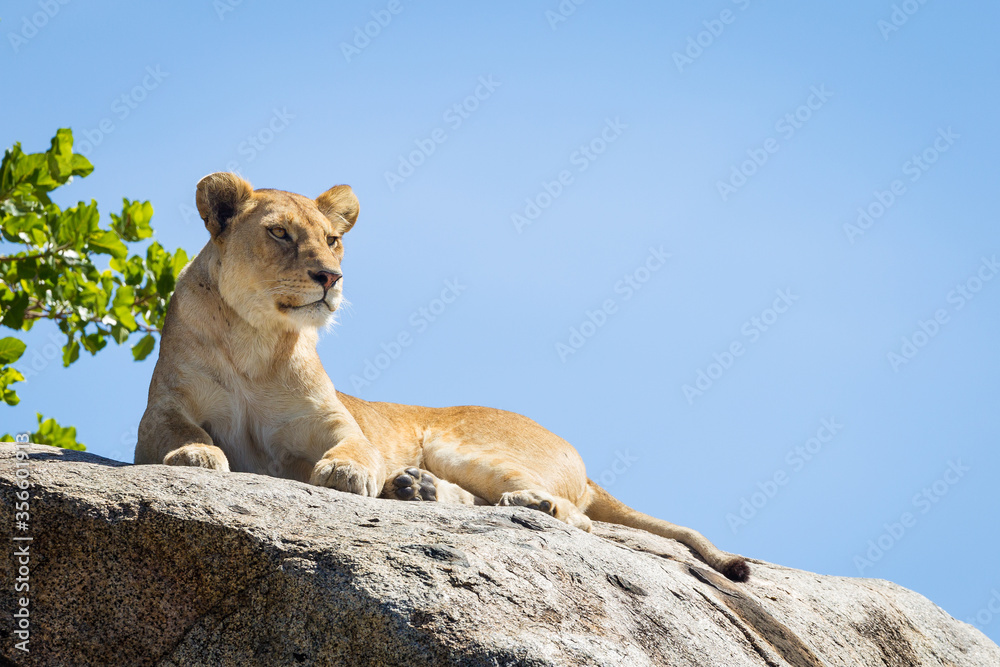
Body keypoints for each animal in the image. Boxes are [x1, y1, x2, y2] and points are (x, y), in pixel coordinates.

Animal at [135, 172, 750, 582]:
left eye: (332, 239)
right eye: (280, 234)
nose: (330, 277)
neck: (255, 341)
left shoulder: (336, 421)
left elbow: (355, 446)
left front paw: (346, 473)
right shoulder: (159, 413)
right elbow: (178, 432)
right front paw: (197, 454)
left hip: (460, 444)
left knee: (578, 519)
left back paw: (527, 504)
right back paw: (416, 488)